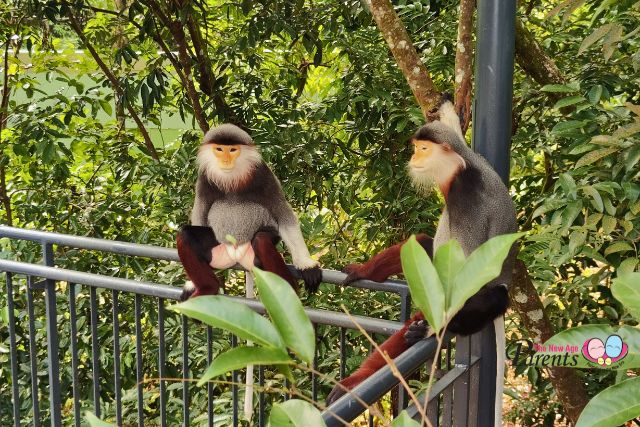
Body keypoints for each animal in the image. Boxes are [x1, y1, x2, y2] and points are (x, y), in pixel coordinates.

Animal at [176, 123, 322, 300]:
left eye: (232, 150)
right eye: (219, 149)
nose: (225, 160)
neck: (232, 177)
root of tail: (236, 256)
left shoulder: (263, 174)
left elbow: (284, 216)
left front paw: (307, 264)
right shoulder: (204, 179)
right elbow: (201, 214)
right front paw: (191, 283)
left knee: (261, 239)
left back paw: (287, 292)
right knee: (185, 233)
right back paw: (207, 288)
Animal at [328, 95, 516, 426]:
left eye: (423, 149)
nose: (414, 157)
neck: (464, 165)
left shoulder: (468, 193)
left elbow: (468, 264)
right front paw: (446, 104)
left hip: (482, 299)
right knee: (420, 244)